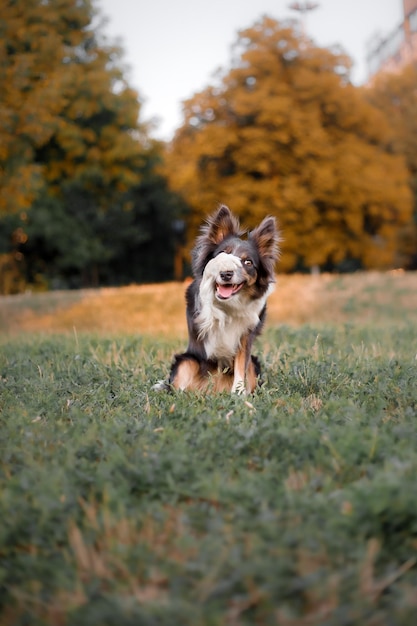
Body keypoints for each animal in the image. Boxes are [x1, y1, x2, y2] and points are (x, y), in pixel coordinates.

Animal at [156, 204, 280, 390]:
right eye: (222, 254)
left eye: (248, 262)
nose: (226, 274)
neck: (229, 303)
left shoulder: (245, 336)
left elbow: (241, 365)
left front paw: (237, 392)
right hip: (186, 360)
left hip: (253, 365)